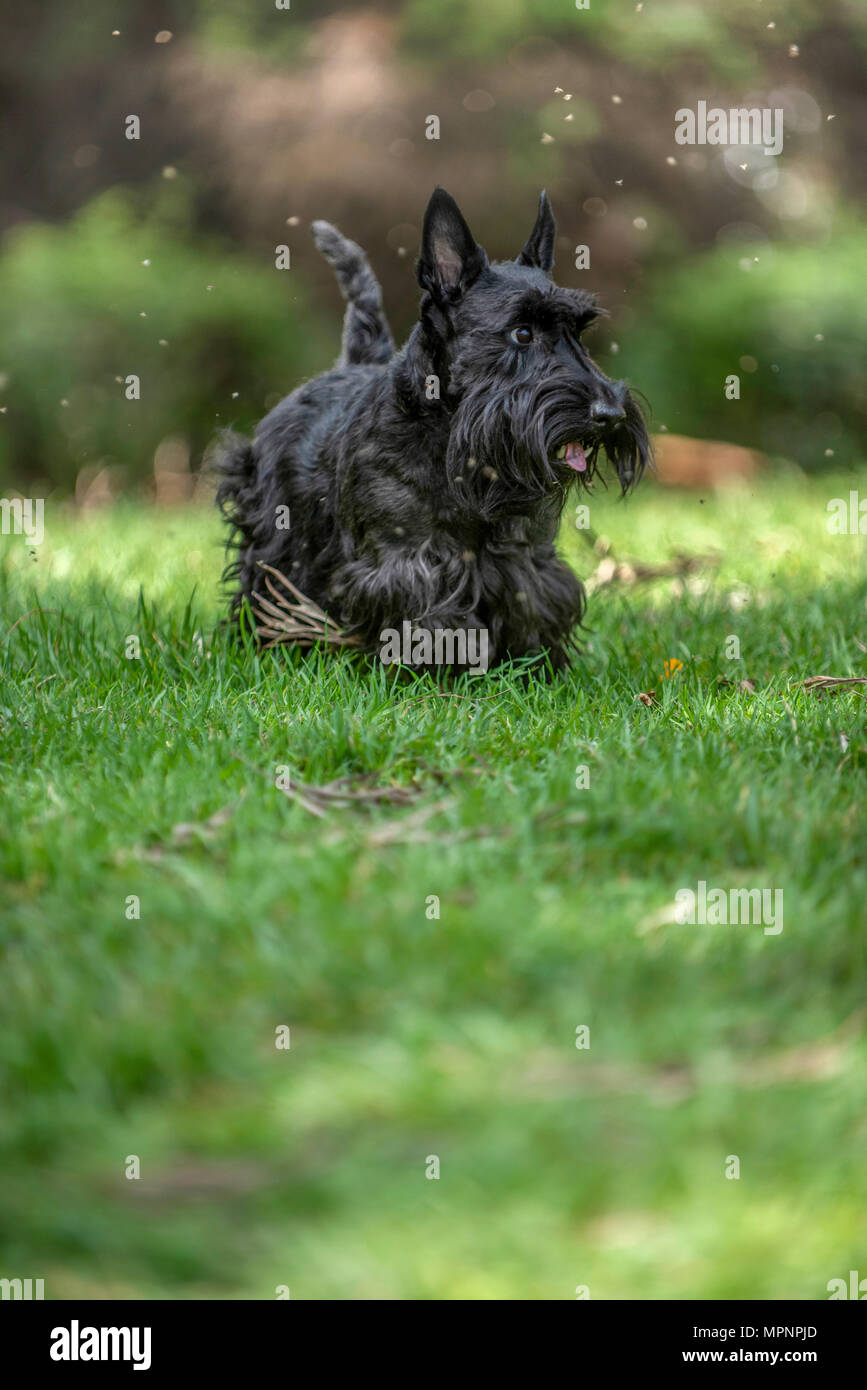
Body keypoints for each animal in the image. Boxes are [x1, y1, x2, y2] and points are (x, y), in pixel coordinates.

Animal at [216, 190, 650, 672]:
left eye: (578, 332)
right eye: (521, 333)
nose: (610, 414)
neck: (452, 444)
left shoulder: (525, 554)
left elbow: (533, 598)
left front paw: (537, 668)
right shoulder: (403, 559)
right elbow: (425, 614)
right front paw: (430, 671)